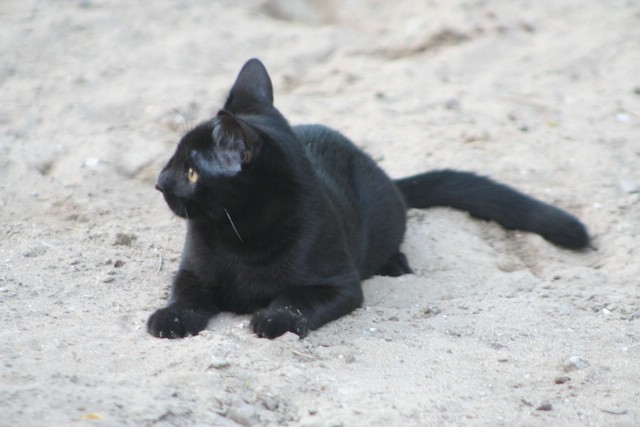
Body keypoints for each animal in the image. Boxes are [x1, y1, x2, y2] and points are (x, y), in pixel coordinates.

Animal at [147, 58, 589, 340]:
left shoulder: (338, 285)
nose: (159, 182)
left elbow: (294, 300)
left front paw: (272, 319)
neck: (241, 235)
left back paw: (397, 264)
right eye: (173, 159)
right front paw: (169, 320)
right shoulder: (193, 271)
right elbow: (186, 294)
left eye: (191, 171)